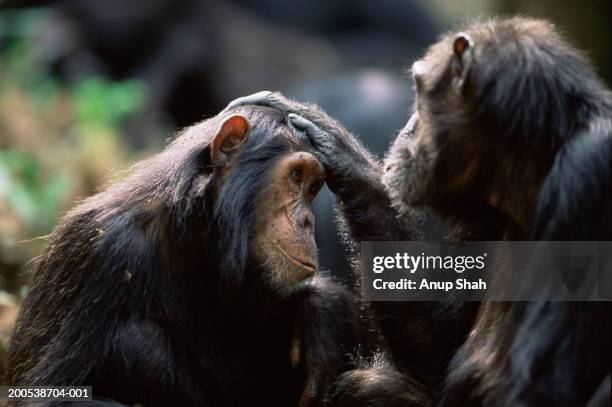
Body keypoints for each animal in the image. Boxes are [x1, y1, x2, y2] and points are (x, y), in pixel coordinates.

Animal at [8, 107, 358, 406]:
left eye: (312, 188)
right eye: (296, 176)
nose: (307, 220)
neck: (196, 229)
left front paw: (320, 313)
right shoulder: (98, 250)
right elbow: (52, 396)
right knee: (137, 340)